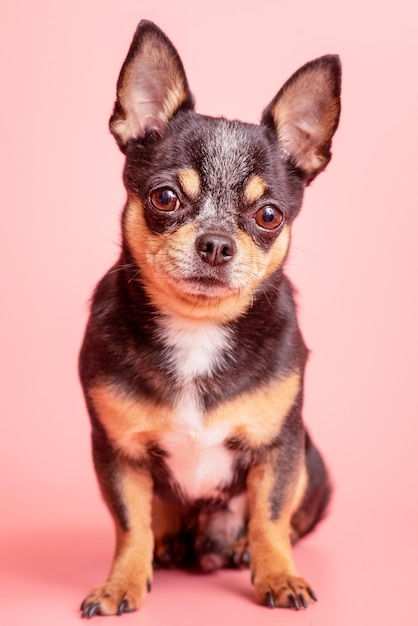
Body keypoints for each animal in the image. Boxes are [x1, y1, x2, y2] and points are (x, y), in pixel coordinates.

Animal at [78, 18, 340, 616]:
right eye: (166, 198)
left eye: (268, 215)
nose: (217, 244)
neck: (197, 329)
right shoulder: (117, 454)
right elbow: (130, 525)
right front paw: (122, 583)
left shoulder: (280, 448)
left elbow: (271, 517)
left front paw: (277, 576)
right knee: (158, 521)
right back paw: (170, 545)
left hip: (312, 463)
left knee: (288, 520)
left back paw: (242, 549)